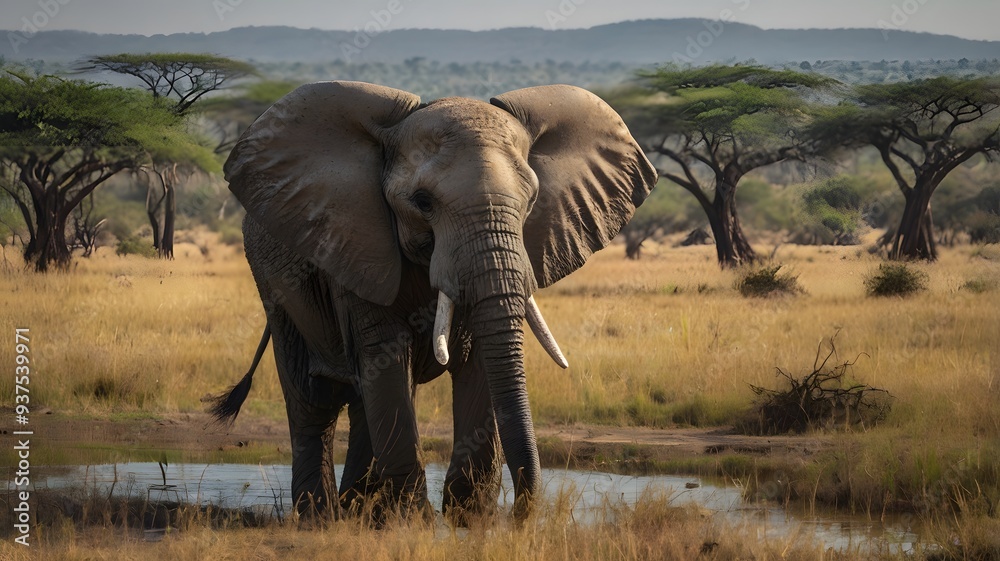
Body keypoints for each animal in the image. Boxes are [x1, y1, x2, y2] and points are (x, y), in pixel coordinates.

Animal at [212, 81, 656, 522]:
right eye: (423, 202)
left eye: (531, 201)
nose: (519, 515)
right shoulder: (359, 247)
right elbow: (387, 359)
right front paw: (416, 521)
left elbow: (478, 364)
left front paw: (469, 517)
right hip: (274, 287)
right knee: (313, 401)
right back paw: (321, 518)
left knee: (361, 402)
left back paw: (359, 510)